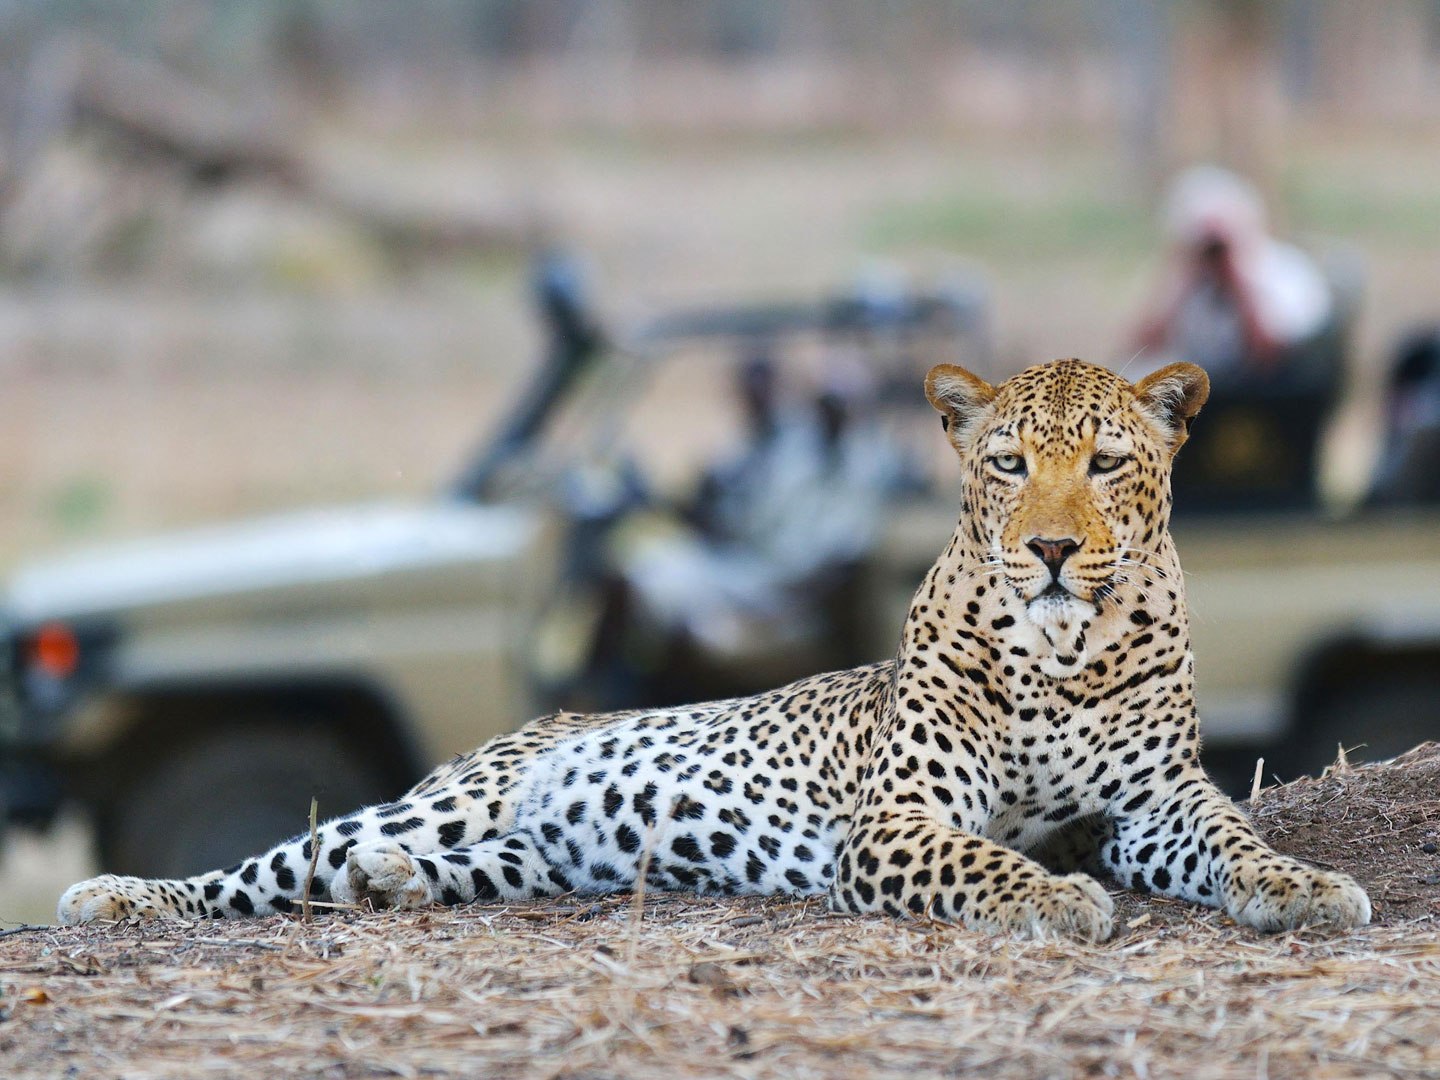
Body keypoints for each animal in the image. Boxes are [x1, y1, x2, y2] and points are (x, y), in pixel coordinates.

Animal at [58, 358, 1371, 940]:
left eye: (1105, 463)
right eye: (1008, 464)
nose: (1049, 549)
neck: (1063, 655)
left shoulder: (1152, 803)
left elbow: (1231, 836)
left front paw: (1303, 886)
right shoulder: (898, 822)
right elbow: (986, 860)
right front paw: (1055, 899)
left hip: (537, 859)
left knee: (401, 871)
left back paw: (393, 889)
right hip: (439, 800)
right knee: (266, 866)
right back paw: (116, 897)